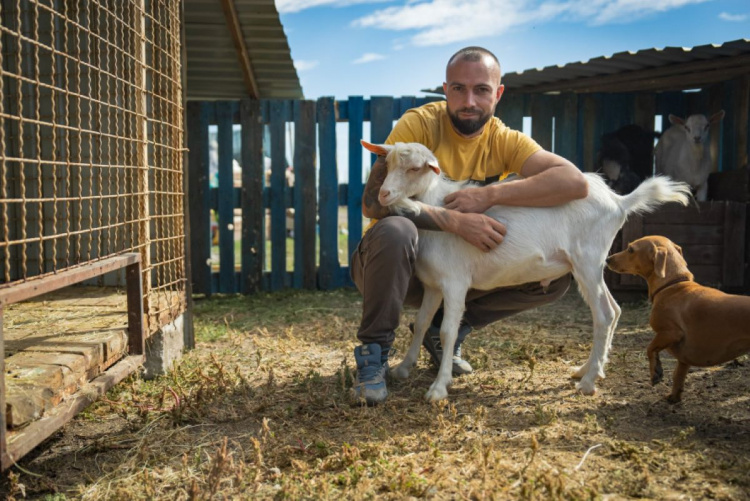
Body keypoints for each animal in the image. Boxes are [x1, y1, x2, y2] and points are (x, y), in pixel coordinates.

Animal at [608, 234, 750, 402]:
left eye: (630, 249)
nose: (608, 259)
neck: (672, 285)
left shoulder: (670, 333)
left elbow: (650, 348)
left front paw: (656, 372)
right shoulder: (683, 360)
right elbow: (678, 376)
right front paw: (673, 397)